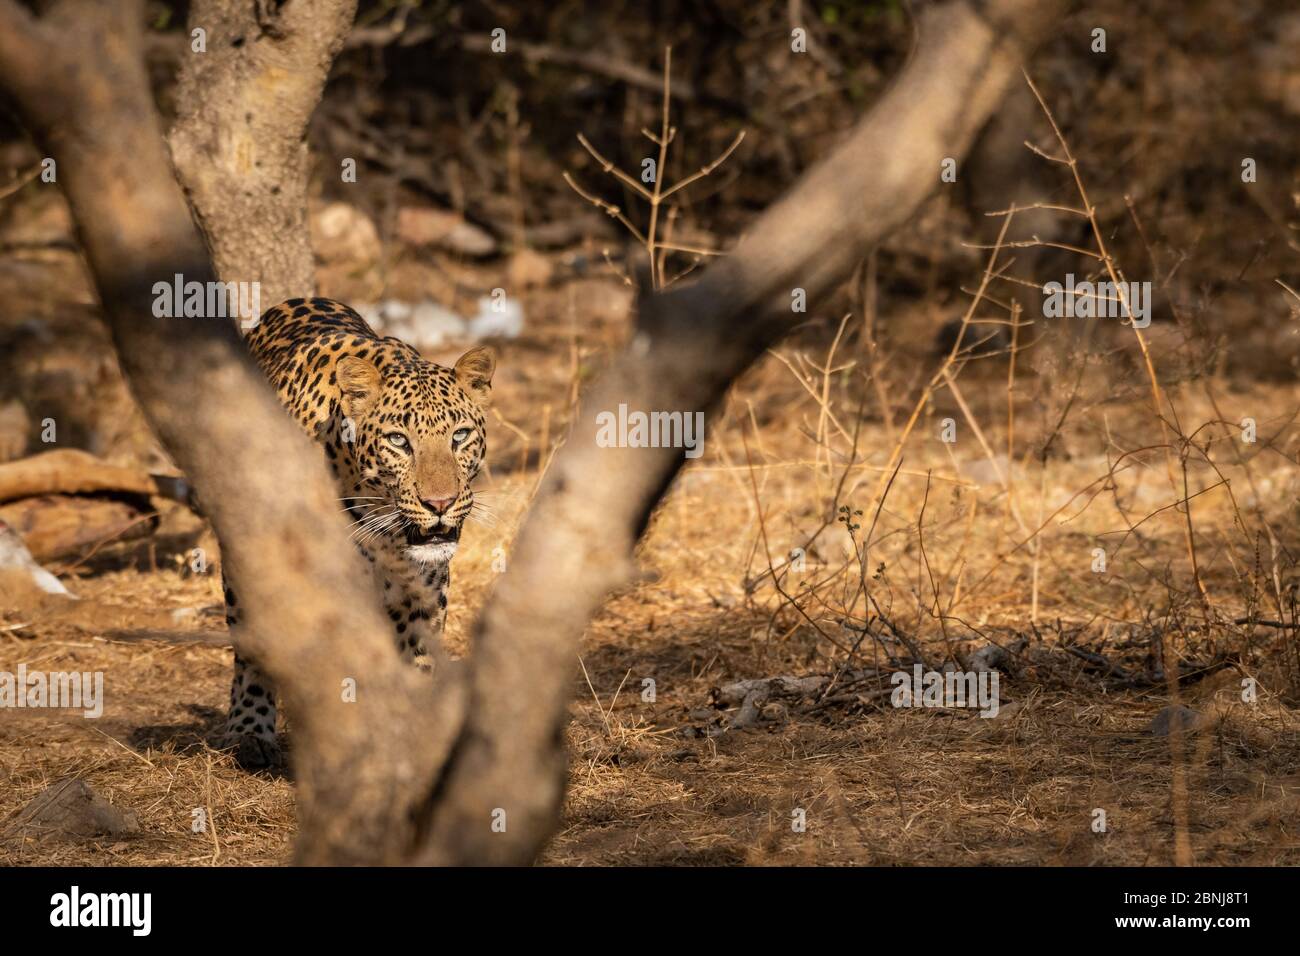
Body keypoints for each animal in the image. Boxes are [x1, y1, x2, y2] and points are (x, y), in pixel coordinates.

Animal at [218, 297, 491, 770]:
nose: (439, 504)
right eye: (399, 441)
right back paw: (250, 730)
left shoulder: (423, 593)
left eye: (460, 436)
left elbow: (416, 662)